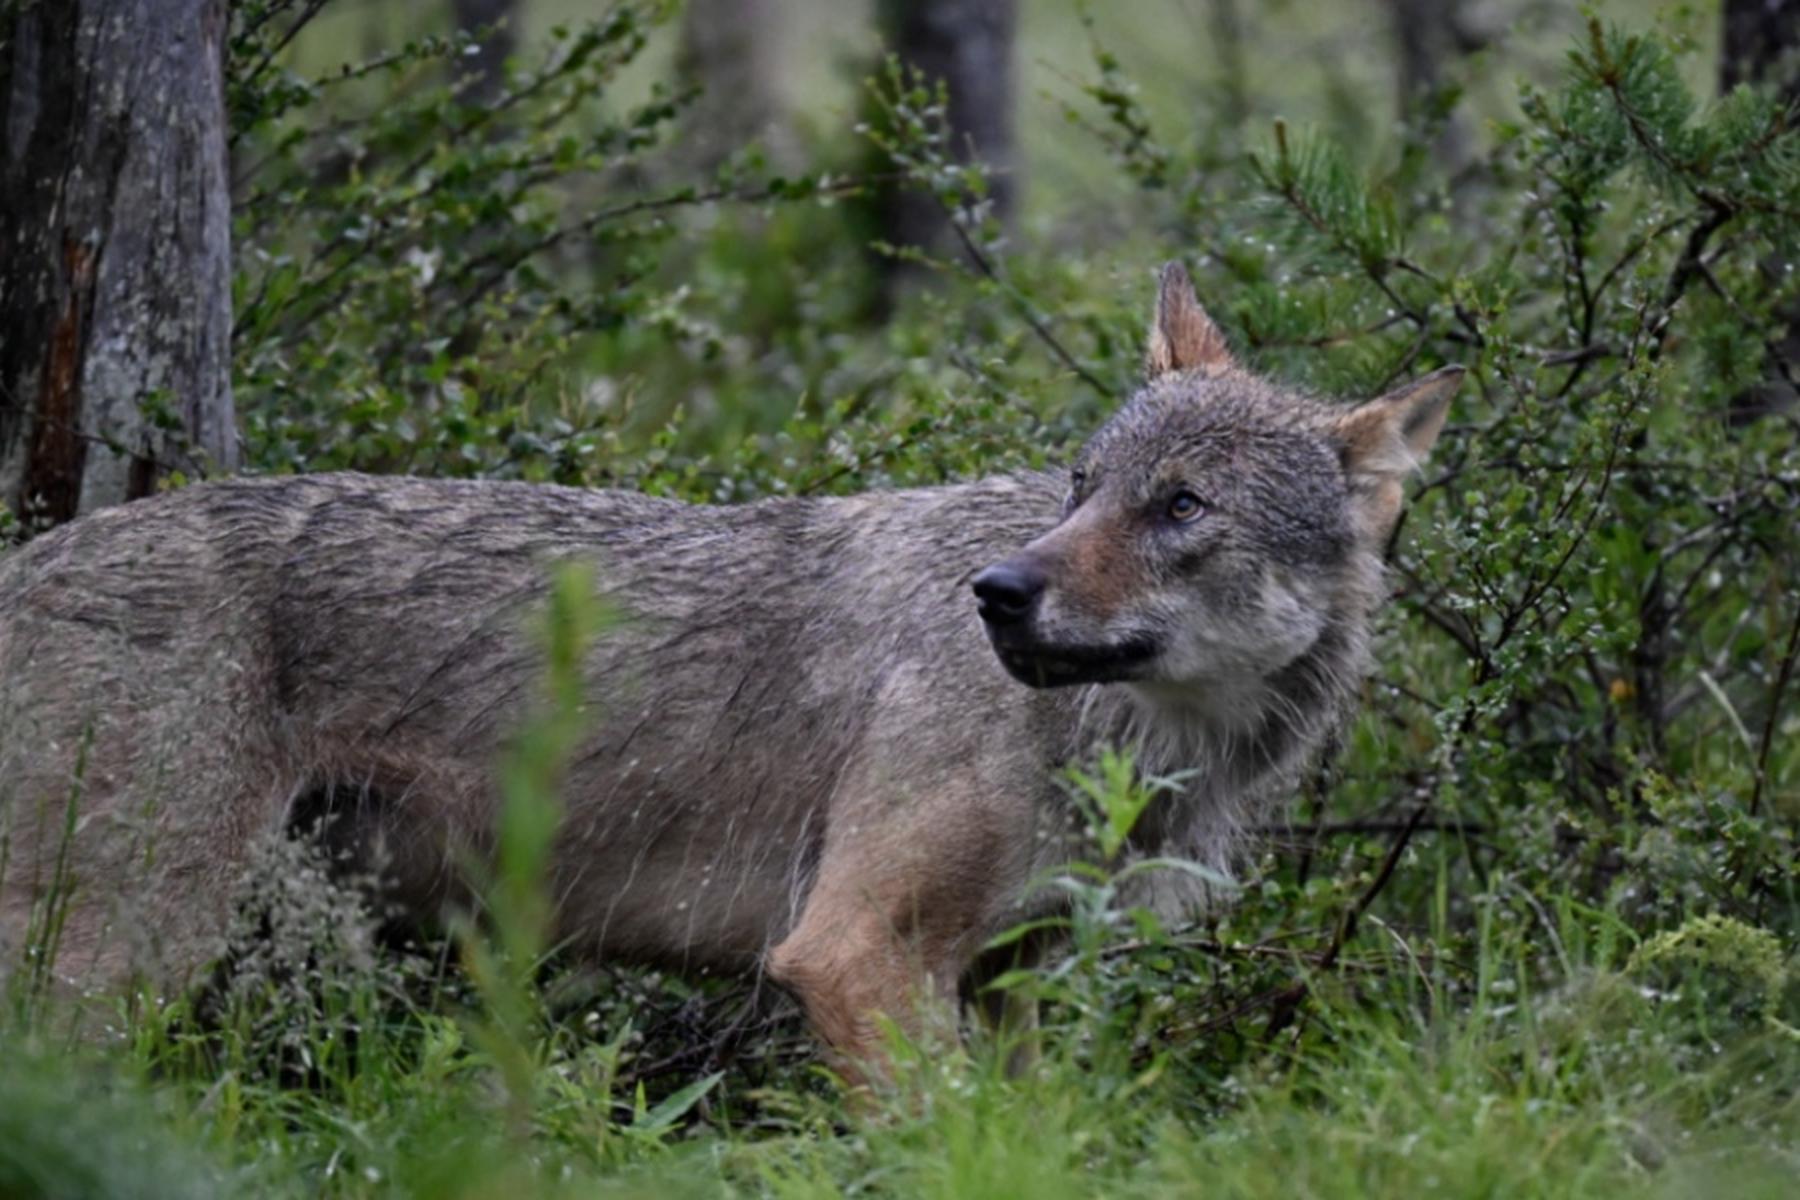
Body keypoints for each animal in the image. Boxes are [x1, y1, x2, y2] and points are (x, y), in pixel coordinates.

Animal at [0, 263, 1458, 1075]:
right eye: (1081, 488)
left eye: (1179, 508)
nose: (997, 593)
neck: (1144, 754)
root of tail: (34, 558)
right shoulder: (854, 954)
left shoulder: (1019, 985)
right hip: (118, 966)